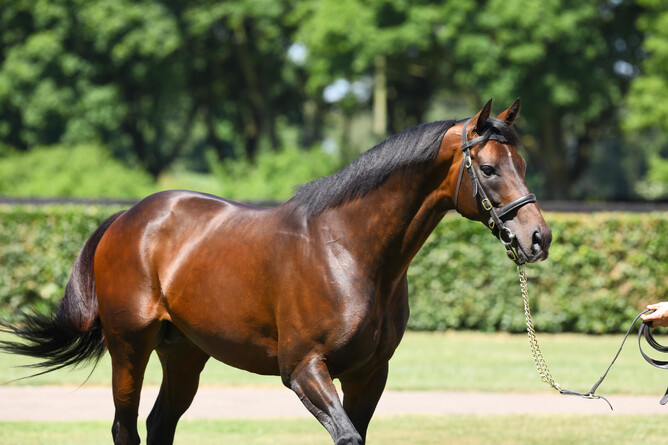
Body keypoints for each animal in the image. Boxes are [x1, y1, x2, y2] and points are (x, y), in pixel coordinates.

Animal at [1, 98, 551, 445]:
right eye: (488, 168)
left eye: (523, 163)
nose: (538, 238)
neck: (349, 251)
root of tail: (127, 218)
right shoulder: (304, 369)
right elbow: (346, 437)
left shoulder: (370, 373)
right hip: (129, 346)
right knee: (125, 427)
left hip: (183, 354)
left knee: (159, 426)